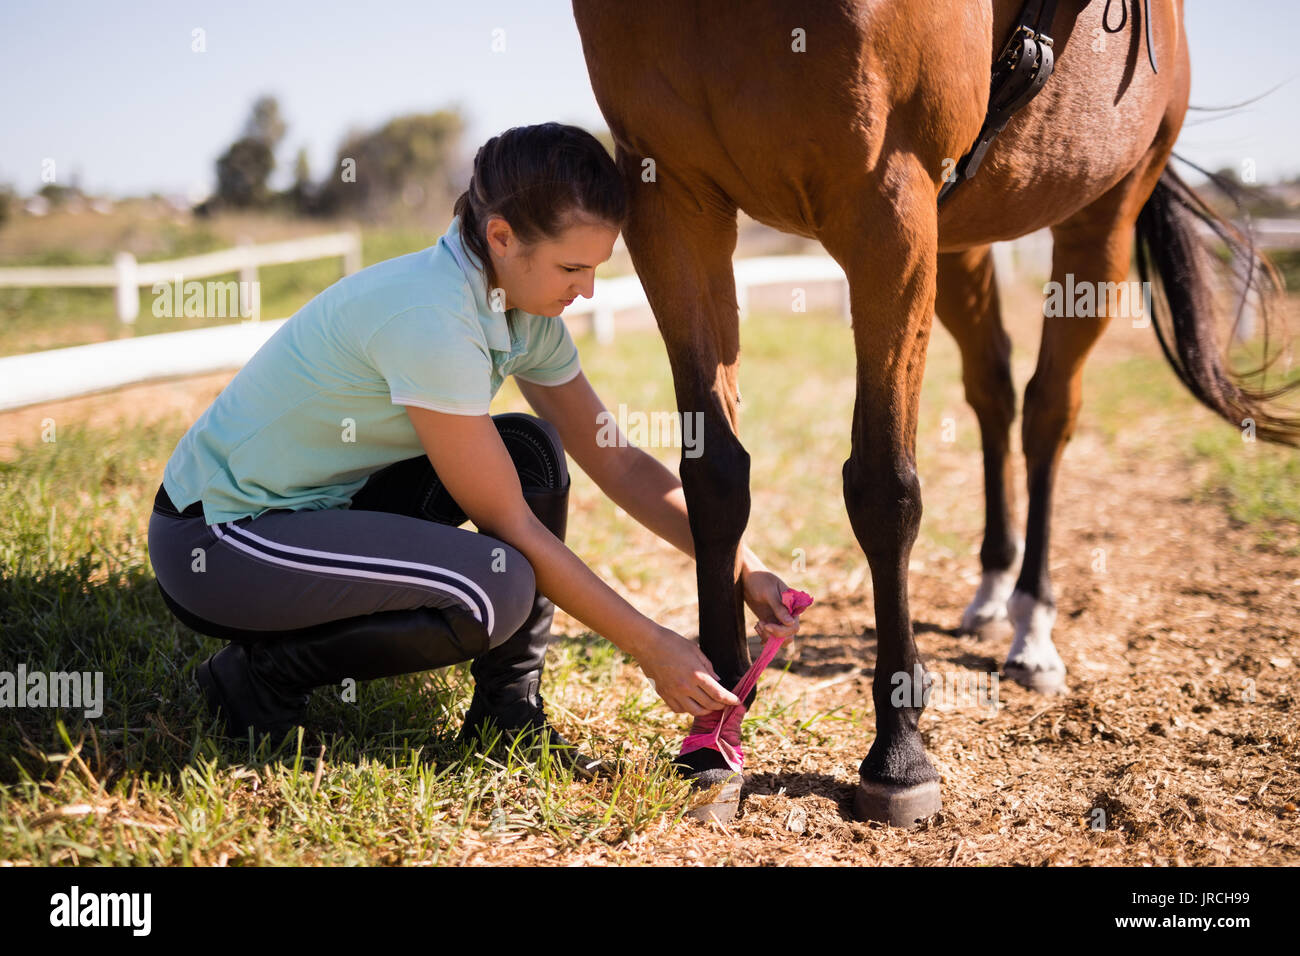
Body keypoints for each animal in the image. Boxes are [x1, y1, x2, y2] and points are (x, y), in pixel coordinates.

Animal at [571, 0, 1299, 826]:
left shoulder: (887, 202)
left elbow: (883, 489)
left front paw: (899, 751)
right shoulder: (673, 196)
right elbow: (715, 479)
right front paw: (715, 731)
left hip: (1102, 217)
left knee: (1048, 411)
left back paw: (1031, 625)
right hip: (959, 236)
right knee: (994, 389)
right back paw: (991, 589)